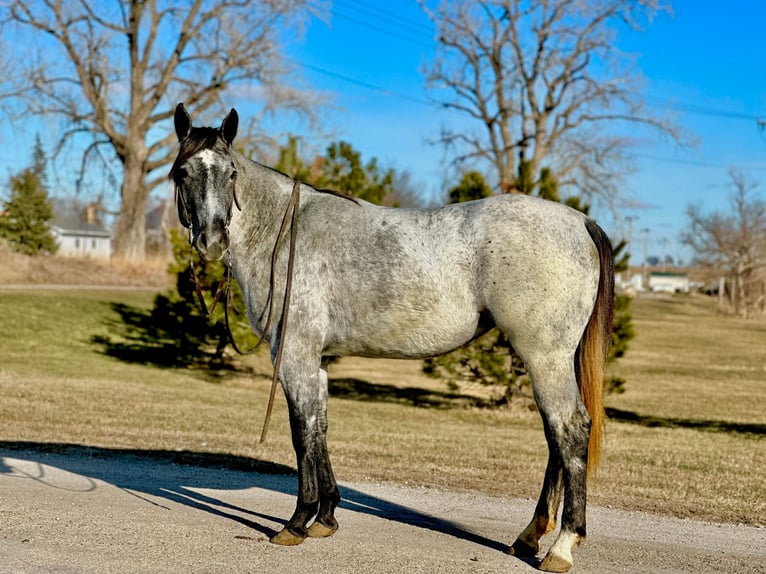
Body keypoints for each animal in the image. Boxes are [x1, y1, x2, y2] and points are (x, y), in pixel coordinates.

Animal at [171, 104, 616, 574]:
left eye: (231, 173)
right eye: (183, 172)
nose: (212, 240)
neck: (281, 231)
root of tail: (580, 221)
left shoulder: (294, 356)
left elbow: (301, 432)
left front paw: (296, 522)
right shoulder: (316, 361)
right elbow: (320, 428)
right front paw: (325, 518)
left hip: (544, 357)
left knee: (569, 430)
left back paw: (562, 546)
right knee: (555, 438)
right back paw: (530, 535)